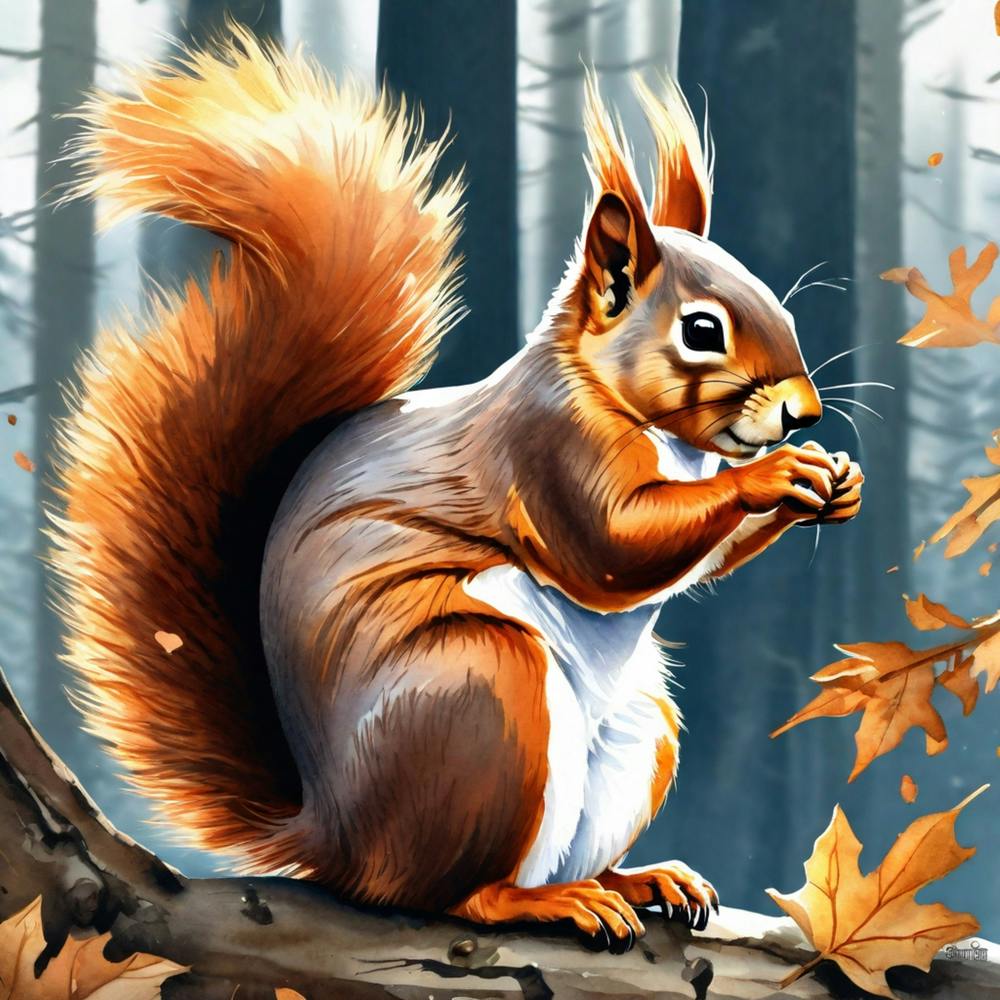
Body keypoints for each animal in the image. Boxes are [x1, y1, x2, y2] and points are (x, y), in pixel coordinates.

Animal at [54, 30, 864, 949]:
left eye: (783, 310)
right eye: (701, 330)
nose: (804, 413)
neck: (642, 420)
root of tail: (335, 835)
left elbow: (705, 558)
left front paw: (834, 481)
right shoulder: (546, 452)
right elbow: (614, 547)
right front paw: (775, 474)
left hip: (636, 732)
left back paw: (638, 878)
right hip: (481, 696)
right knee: (442, 892)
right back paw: (545, 900)